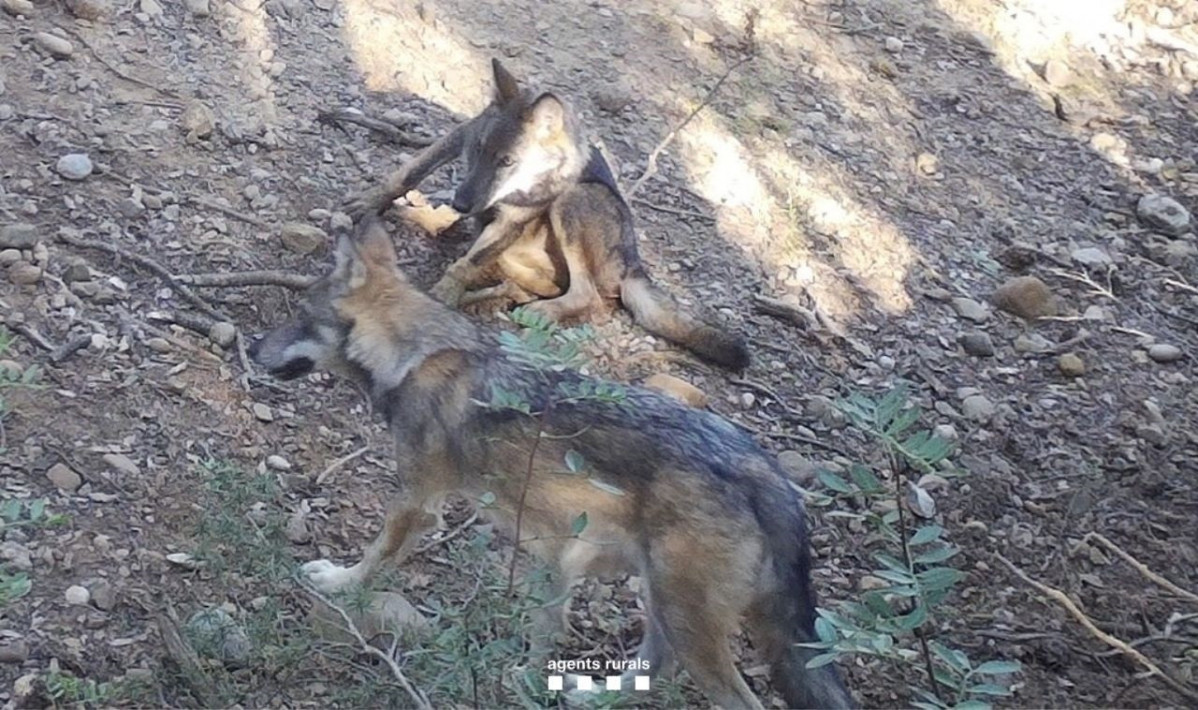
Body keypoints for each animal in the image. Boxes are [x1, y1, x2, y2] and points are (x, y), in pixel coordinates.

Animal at [248, 217, 853, 710]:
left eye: (300, 317)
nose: (252, 349)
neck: (415, 356)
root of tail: (765, 470)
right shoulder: (552, 558)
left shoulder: (417, 503)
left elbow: (374, 560)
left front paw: (339, 583)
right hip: (661, 604)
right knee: (650, 670)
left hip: (686, 623)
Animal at [343, 58, 750, 371]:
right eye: (478, 151)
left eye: (507, 162)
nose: (461, 204)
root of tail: (634, 264)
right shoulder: (459, 136)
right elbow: (409, 171)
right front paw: (368, 202)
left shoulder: (513, 219)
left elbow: (464, 265)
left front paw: (444, 295)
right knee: (536, 283)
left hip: (574, 200)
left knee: (589, 298)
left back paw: (531, 309)